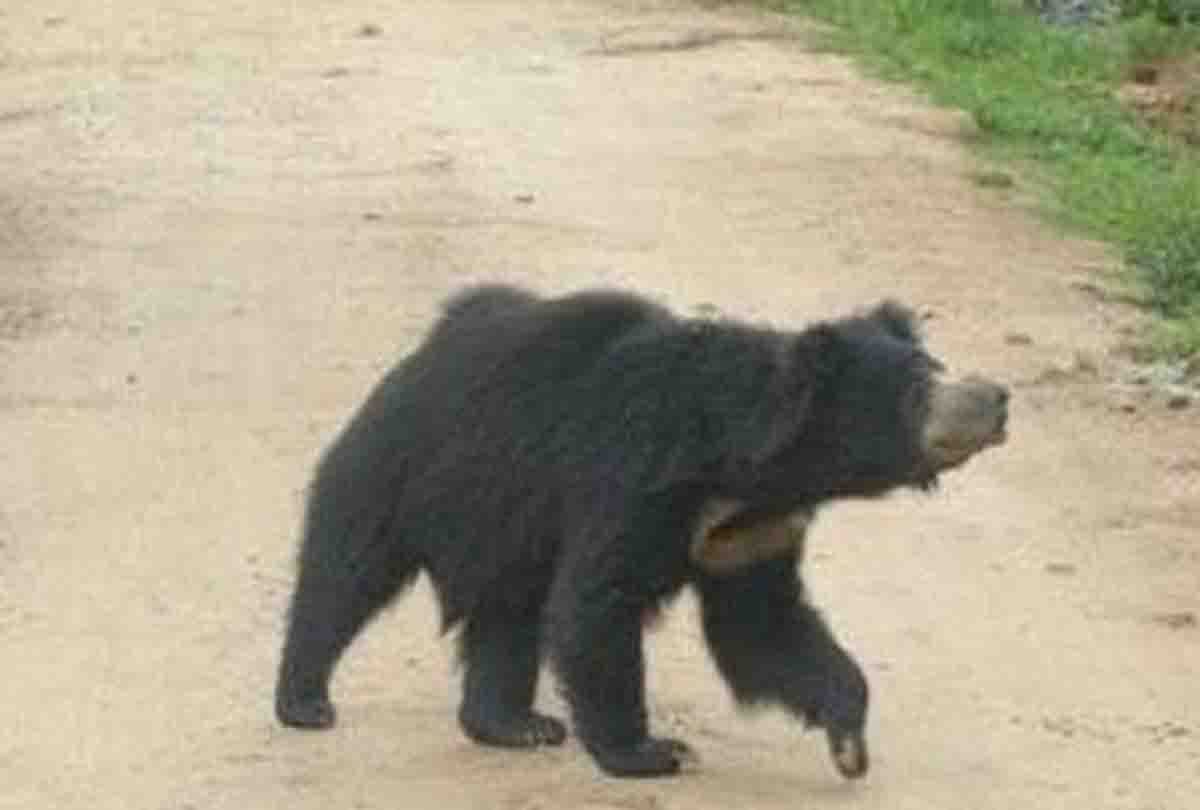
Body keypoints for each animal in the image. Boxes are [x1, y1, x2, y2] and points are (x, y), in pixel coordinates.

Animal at [274, 282, 1008, 780]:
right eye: (916, 389)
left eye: (936, 367)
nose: (998, 398)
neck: (746, 467)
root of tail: (427, 346)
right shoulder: (633, 474)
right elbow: (599, 601)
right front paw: (651, 751)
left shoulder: (753, 531)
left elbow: (764, 626)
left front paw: (849, 740)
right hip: (403, 467)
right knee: (345, 573)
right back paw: (307, 701)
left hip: (508, 527)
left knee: (508, 618)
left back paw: (515, 725)